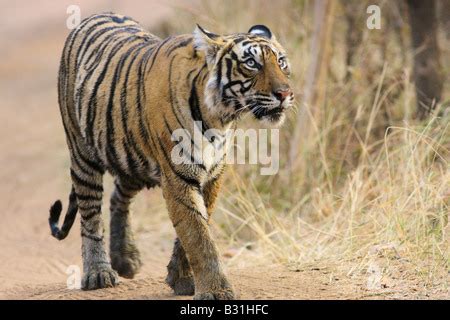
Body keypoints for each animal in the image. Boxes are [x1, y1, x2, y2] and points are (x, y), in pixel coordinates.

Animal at [49, 12, 294, 300]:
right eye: (251, 64)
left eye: (281, 62)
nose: (285, 94)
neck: (220, 117)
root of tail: (94, 16)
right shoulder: (178, 175)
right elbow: (197, 235)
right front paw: (215, 290)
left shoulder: (212, 176)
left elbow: (196, 228)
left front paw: (182, 279)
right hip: (83, 154)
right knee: (91, 216)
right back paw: (98, 272)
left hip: (132, 156)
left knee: (118, 196)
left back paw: (126, 259)